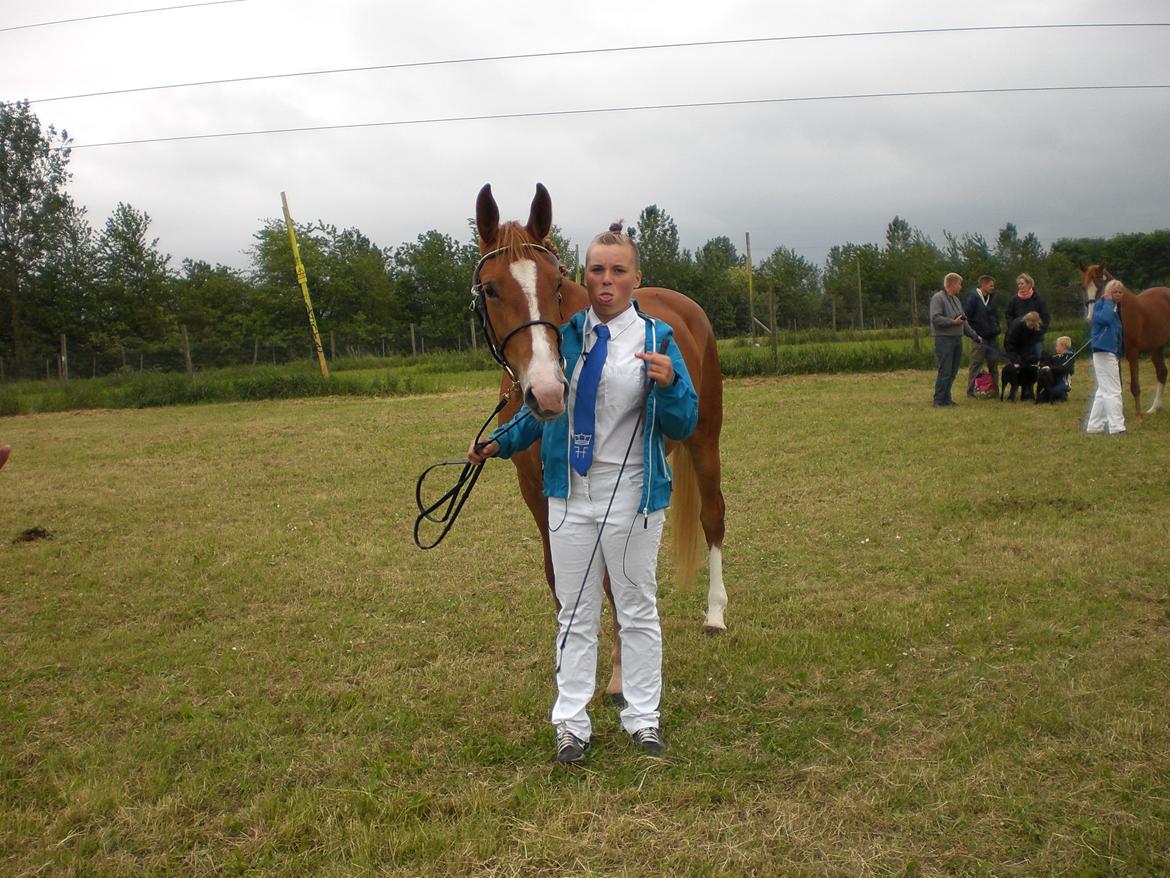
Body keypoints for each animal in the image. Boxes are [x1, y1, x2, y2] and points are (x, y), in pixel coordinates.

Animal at [472, 182, 725, 707]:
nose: (548, 393)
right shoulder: (538, 493)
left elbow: (609, 578)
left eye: (555, 283)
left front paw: (619, 675)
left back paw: (715, 614)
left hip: (705, 440)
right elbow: (561, 578)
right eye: (490, 288)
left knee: (713, 516)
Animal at [1076, 263, 1170, 421]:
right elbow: (1117, 385)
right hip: (1157, 347)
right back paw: (1154, 408)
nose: (1091, 317)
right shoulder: (1116, 354)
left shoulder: (1133, 352)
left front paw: (1138, 417)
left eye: (1100, 286)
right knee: (1162, 372)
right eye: (1083, 287)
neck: (1120, 311)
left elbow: (1135, 386)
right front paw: (1119, 412)